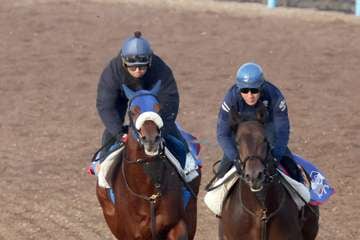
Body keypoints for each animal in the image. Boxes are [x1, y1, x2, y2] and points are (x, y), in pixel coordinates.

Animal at [95, 81, 201, 240]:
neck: (148, 192)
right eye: (133, 111)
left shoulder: (177, 225)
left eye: (158, 108)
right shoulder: (131, 234)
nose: (151, 140)